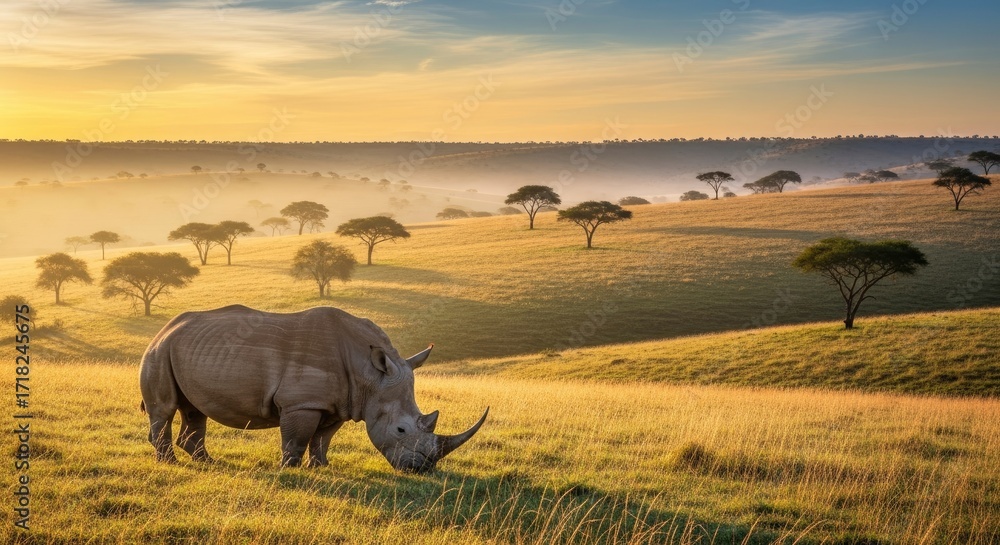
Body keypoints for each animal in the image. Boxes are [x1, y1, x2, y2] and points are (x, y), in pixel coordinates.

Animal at [139, 304, 487, 473]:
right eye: (401, 430)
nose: (421, 469)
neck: (369, 373)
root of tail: (163, 328)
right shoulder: (302, 402)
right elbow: (296, 438)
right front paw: (288, 471)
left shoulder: (339, 404)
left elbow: (322, 439)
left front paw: (320, 467)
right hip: (159, 351)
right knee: (165, 409)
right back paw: (170, 464)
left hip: (188, 349)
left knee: (195, 409)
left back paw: (206, 463)